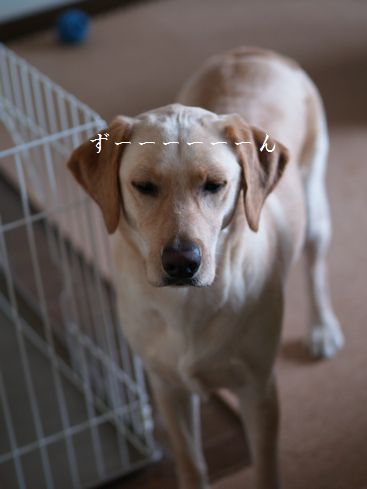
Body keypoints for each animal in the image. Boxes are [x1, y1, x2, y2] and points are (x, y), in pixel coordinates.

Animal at [67, 46, 344, 488]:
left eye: (215, 185)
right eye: (144, 186)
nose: (182, 262)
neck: (185, 306)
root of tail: (254, 51)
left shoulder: (258, 388)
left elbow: (266, 466)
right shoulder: (166, 386)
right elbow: (191, 461)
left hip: (315, 201)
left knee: (315, 269)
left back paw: (322, 329)